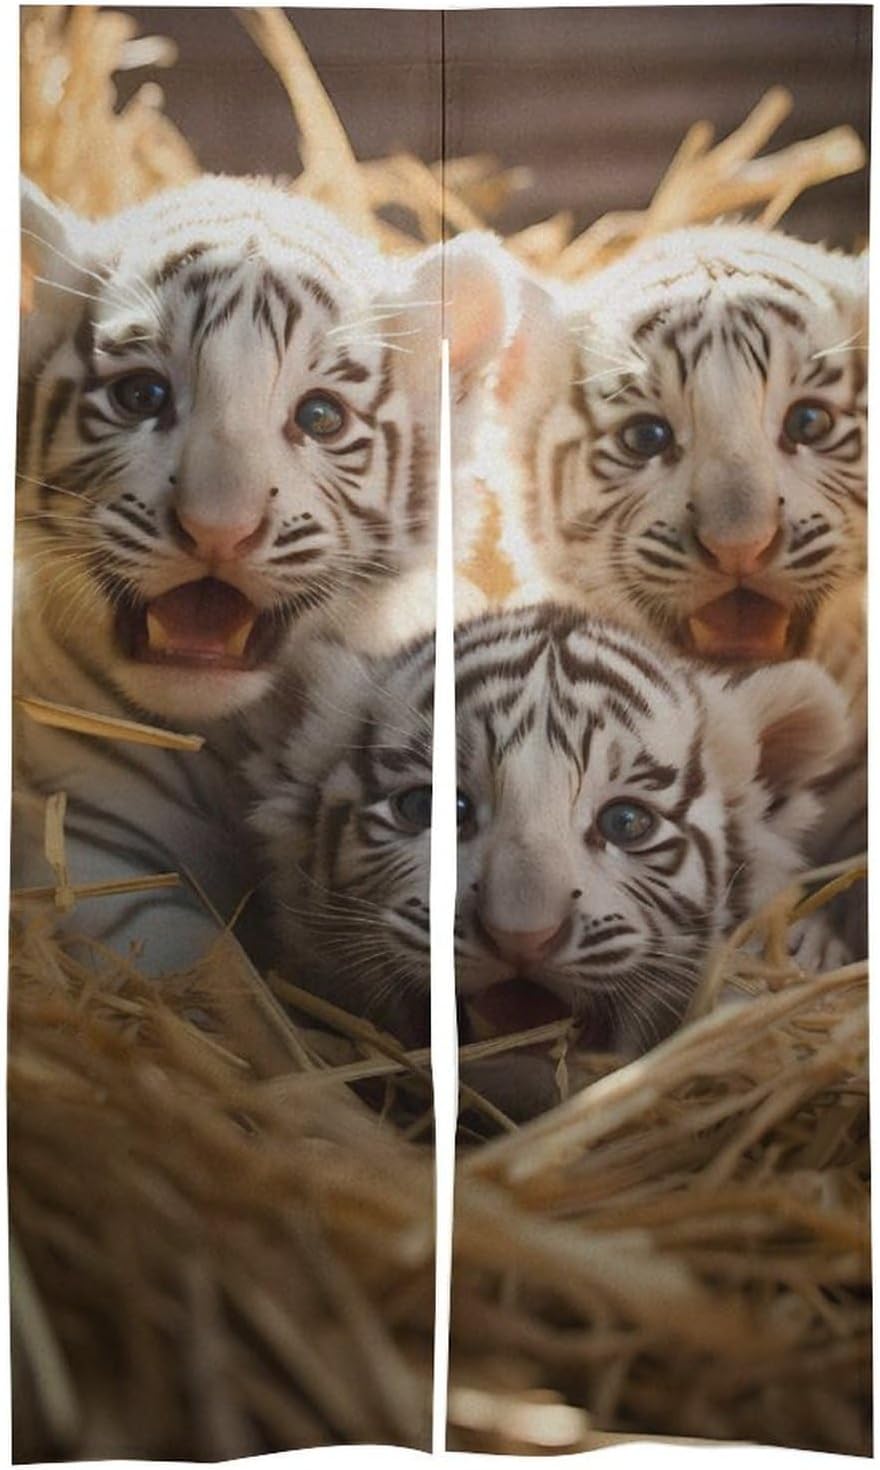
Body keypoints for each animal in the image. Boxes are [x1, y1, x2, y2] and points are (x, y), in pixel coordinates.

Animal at [15, 174, 510, 969]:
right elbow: (204, 966)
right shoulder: (98, 858)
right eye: (141, 395)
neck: (224, 732)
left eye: (320, 417)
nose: (219, 527)